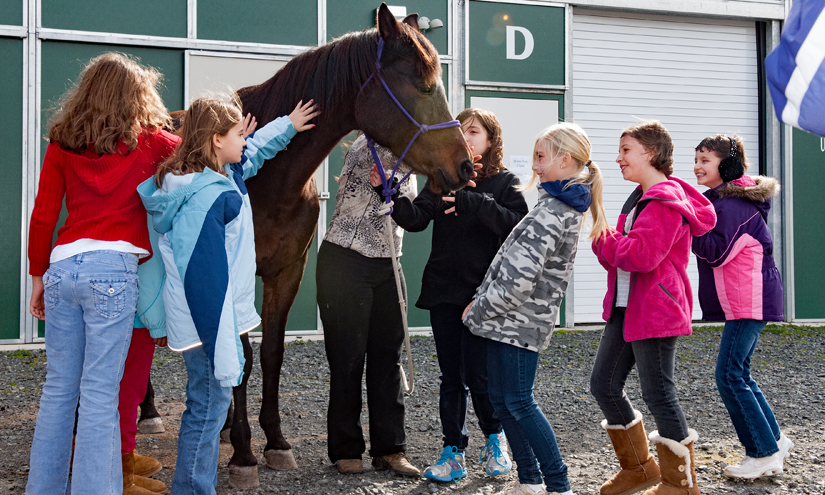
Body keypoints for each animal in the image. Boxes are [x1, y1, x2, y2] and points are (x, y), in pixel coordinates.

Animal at [209, 5, 470, 490]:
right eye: (424, 85)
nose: (465, 166)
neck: (269, 178)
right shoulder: (237, 273)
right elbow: (246, 357)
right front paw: (244, 453)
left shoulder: (287, 273)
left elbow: (272, 353)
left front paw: (275, 442)